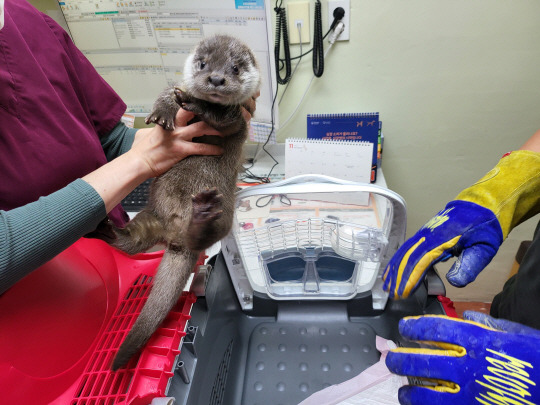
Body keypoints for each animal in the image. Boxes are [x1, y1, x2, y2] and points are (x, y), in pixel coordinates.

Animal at [110, 34, 262, 370]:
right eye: (203, 64)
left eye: (234, 68)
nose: (216, 79)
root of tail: (176, 233)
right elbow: (167, 95)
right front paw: (165, 111)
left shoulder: (238, 119)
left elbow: (224, 117)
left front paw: (196, 104)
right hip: (150, 215)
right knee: (131, 242)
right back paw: (104, 229)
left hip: (224, 213)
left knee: (205, 235)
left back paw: (203, 214)